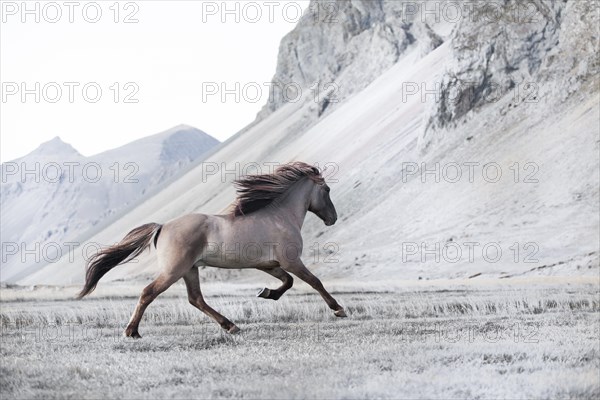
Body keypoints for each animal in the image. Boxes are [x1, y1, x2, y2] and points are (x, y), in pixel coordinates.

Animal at [76, 162, 346, 338]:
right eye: (327, 190)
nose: (333, 218)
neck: (280, 217)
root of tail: (162, 226)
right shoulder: (291, 261)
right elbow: (314, 281)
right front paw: (339, 309)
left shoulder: (269, 265)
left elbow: (288, 282)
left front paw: (266, 293)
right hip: (174, 271)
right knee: (148, 292)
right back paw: (131, 331)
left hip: (190, 270)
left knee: (196, 299)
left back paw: (231, 326)